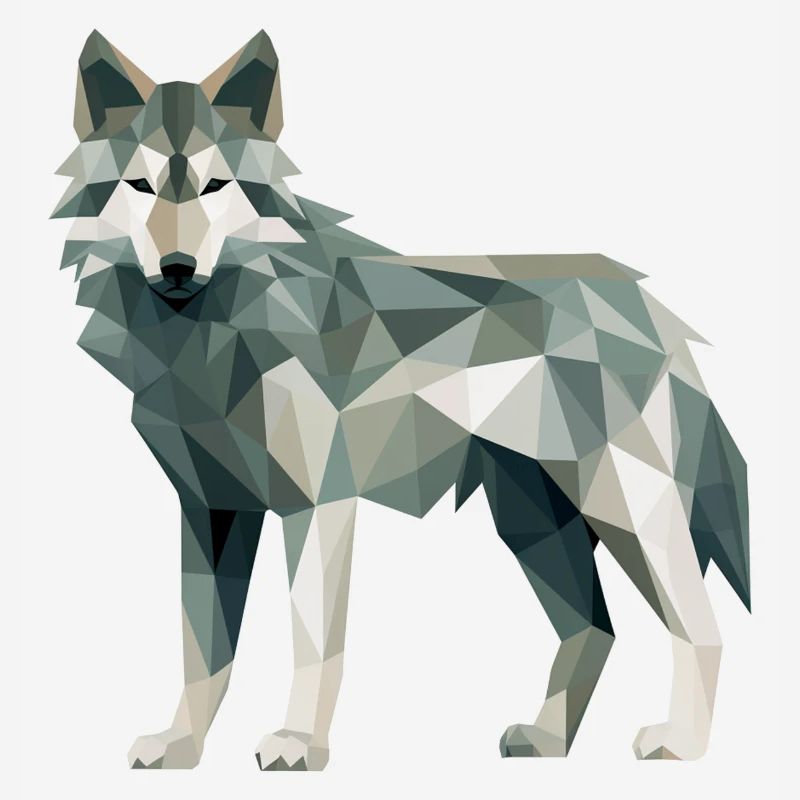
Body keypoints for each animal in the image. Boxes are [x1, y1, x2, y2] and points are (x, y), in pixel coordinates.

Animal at [53, 30, 749, 770]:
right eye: (139, 185)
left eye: (216, 187)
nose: (178, 268)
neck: (214, 336)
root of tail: (650, 308)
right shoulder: (208, 510)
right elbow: (201, 653)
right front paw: (180, 745)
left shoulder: (317, 506)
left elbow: (311, 644)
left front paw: (299, 743)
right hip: (534, 525)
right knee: (595, 627)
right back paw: (548, 740)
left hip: (625, 512)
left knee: (701, 626)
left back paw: (681, 744)